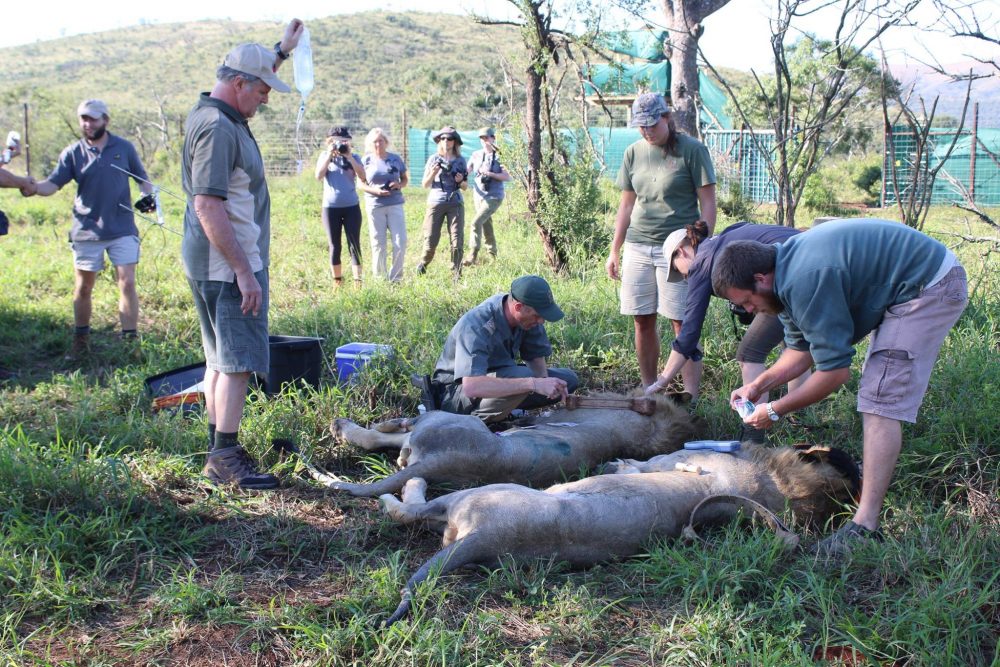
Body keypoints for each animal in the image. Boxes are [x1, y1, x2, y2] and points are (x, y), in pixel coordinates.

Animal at [376, 444, 860, 628]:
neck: (773, 485)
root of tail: (484, 538)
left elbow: (650, 465)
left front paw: (622, 465)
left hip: (474, 496)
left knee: (411, 509)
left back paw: (399, 489)